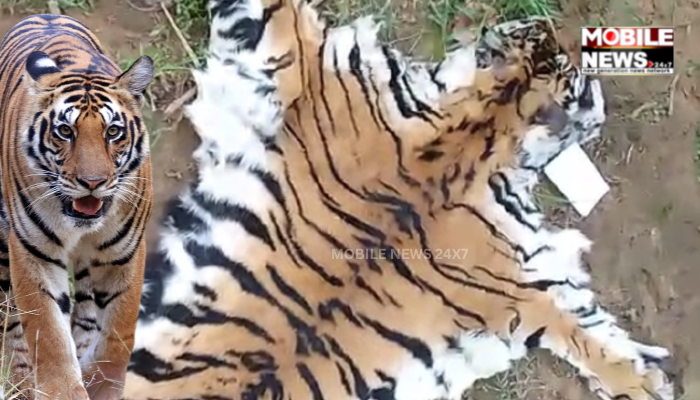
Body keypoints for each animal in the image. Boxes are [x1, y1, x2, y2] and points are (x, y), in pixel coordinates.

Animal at [0, 14, 154, 400]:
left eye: (113, 132)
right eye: (65, 131)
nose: (92, 182)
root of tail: (44, 14)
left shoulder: (125, 254)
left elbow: (119, 332)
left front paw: (101, 385)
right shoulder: (32, 253)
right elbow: (47, 332)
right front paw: (62, 389)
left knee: (86, 313)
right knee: (11, 321)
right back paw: (22, 380)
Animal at [123, 0, 674, 399]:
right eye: (561, 60)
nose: (545, 22)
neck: (486, 123)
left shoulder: (521, 285)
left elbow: (588, 334)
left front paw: (645, 385)